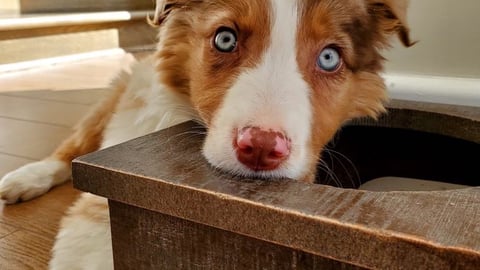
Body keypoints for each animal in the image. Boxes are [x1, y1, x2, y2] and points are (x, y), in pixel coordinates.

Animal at [0, 0, 412, 268]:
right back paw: (25, 179)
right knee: (71, 146)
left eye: (329, 58)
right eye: (225, 39)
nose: (261, 149)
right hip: (115, 93)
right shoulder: (95, 214)